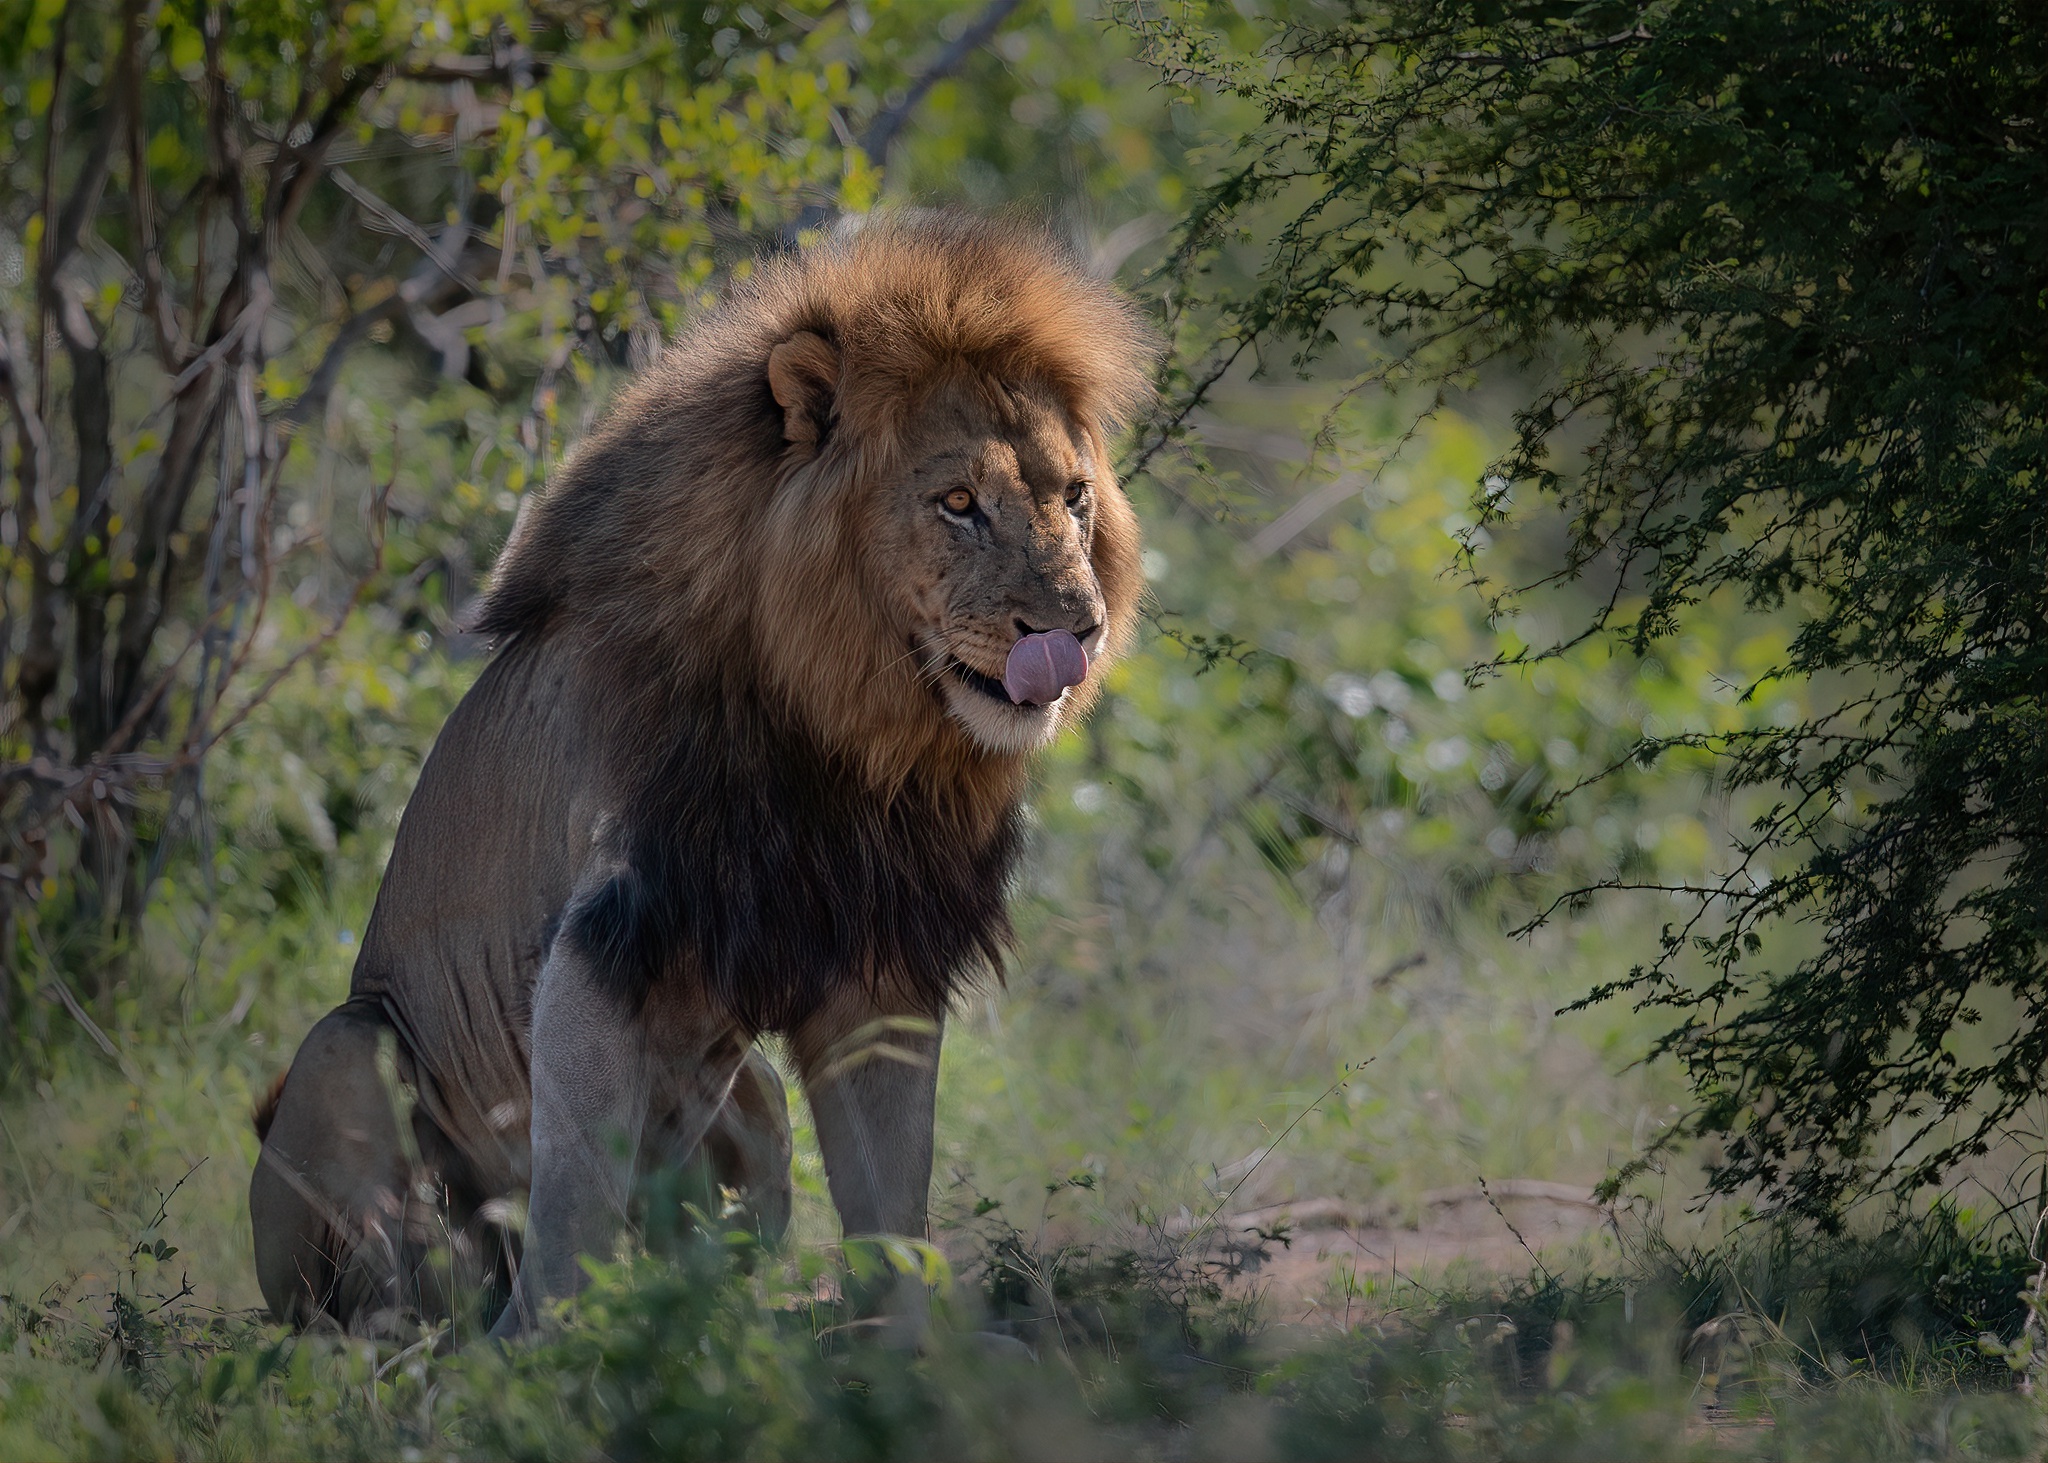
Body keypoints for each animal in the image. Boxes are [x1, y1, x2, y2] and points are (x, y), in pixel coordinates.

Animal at [243, 211, 1155, 1335]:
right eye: (957, 503)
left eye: (1074, 498)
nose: (1078, 629)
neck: (848, 730)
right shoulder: (607, 934)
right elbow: (576, 1190)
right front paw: (541, 1349)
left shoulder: (879, 954)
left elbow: (892, 1189)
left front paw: (914, 1348)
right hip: (349, 1044)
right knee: (378, 1292)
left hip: (747, 1092)